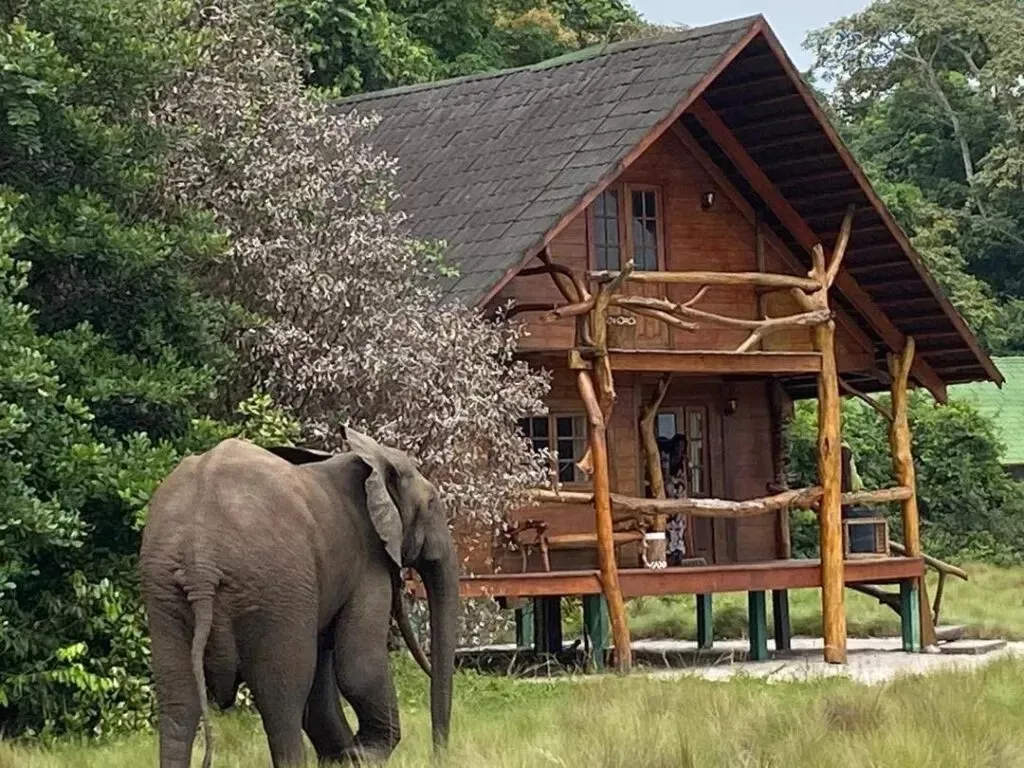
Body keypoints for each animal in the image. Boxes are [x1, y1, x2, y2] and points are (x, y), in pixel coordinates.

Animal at [137, 426, 458, 767]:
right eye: (432, 504)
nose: (439, 754)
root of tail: (201, 560)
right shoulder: (367, 565)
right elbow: (358, 664)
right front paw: (363, 755)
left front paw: (345, 758)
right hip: (274, 585)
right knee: (282, 697)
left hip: (164, 590)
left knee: (178, 702)